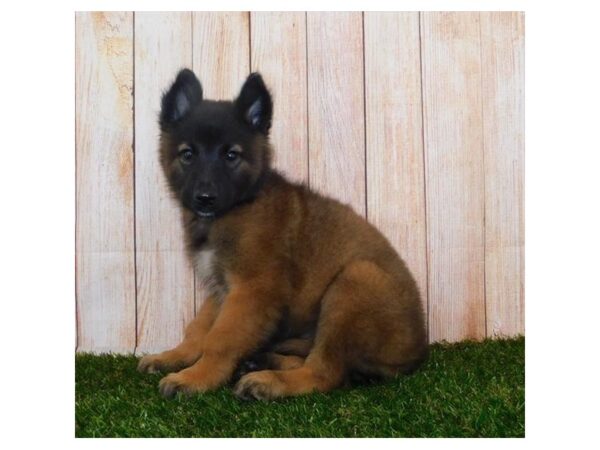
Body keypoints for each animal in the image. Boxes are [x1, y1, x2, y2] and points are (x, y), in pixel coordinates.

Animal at [137, 68, 426, 400]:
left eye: (231, 155)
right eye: (188, 154)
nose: (205, 198)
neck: (239, 206)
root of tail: (417, 353)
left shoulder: (252, 289)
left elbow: (219, 339)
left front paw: (196, 377)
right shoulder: (222, 288)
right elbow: (199, 329)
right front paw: (175, 356)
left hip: (357, 280)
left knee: (324, 372)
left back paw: (269, 381)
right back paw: (263, 360)